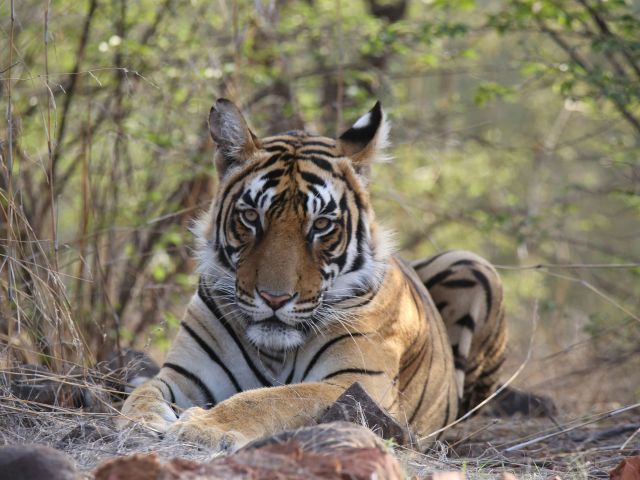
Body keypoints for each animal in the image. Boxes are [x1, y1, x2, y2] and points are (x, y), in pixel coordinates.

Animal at [118, 98, 507, 451]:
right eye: (251, 217)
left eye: (321, 225)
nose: (274, 298)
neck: (274, 351)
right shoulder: (183, 374)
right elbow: (144, 392)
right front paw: (142, 421)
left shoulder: (354, 382)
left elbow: (272, 398)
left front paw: (203, 427)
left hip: (473, 264)